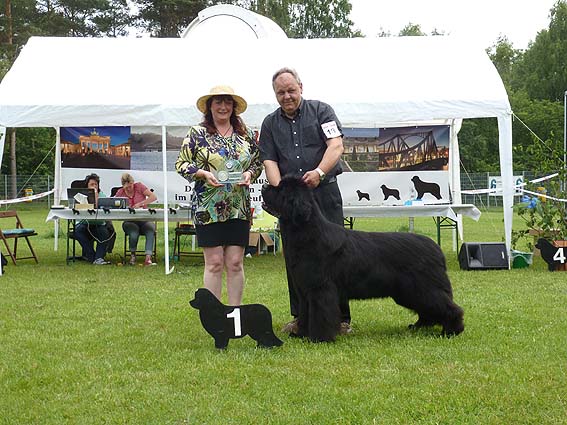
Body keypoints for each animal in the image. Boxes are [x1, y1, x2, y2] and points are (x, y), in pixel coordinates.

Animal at [262, 175, 466, 342]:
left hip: (423, 288)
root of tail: (436, 248)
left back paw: (451, 331)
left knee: (448, 307)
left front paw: (319, 338)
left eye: (281, 189)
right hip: (409, 291)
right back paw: (418, 326)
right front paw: (301, 334)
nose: (264, 186)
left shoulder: (320, 289)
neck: (308, 233)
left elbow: (320, 315)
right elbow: (305, 314)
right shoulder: (305, 290)